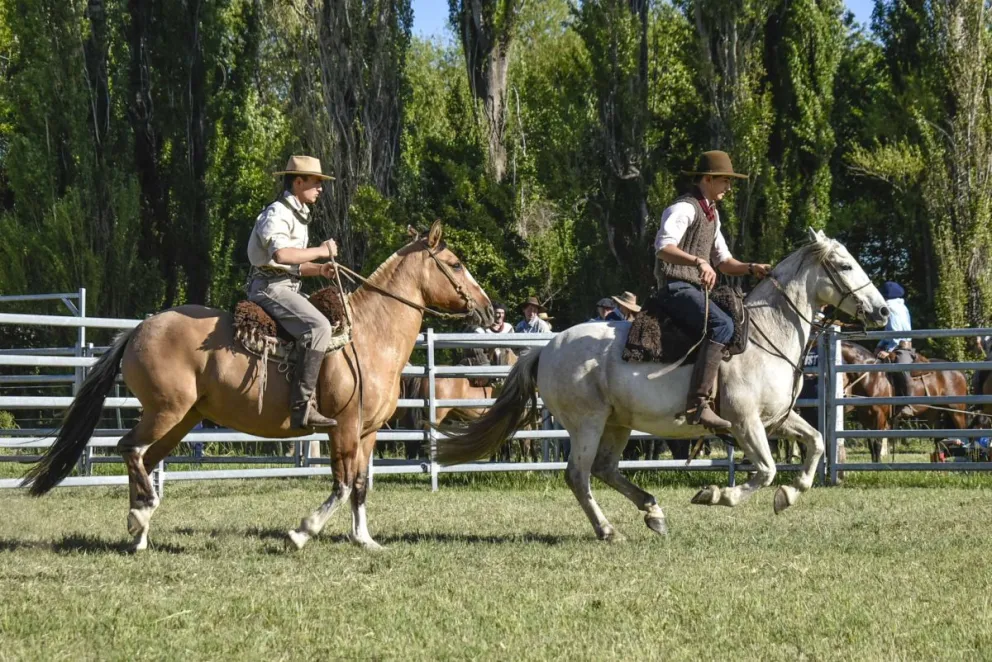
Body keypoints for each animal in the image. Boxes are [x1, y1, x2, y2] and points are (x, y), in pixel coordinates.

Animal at [22, 221, 493, 552]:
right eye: (455, 263)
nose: (491, 310)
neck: (369, 335)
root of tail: (139, 328)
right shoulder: (341, 427)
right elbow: (341, 485)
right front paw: (301, 532)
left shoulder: (367, 432)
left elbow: (359, 485)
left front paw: (365, 540)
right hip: (165, 411)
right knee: (130, 449)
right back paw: (140, 519)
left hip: (181, 419)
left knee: (144, 458)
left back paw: (139, 531)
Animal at [437, 228, 889, 540]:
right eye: (845, 265)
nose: (882, 311)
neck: (765, 335)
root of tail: (545, 349)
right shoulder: (745, 423)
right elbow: (766, 470)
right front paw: (717, 495)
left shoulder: (776, 420)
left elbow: (816, 444)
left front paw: (789, 496)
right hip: (587, 423)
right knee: (579, 475)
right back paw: (608, 530)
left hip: (617, 423)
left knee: (604, 469)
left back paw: (653, 512)